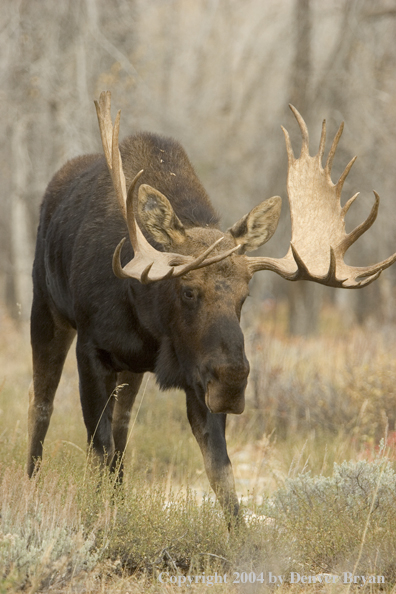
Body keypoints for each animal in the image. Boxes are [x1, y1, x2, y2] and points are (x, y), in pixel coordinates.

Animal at [27, 91, 396, 520]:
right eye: (188, 290)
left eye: (245, 294)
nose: (234, 378)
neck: (148, 321)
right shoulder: (92, 348)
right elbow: (97, 447)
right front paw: (99, 516)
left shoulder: (195, 374)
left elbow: (220, 470)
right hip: (45, 309)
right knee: (41, 407)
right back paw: (30, 484)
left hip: (131, 369)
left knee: (122, 428)